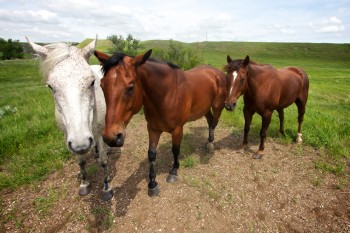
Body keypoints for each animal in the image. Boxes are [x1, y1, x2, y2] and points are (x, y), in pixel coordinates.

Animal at [26, 37, 113, 201]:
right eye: (51, 86)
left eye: (92, 82)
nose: (82, 143)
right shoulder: (70, 137)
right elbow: (81, 161)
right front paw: (84, 184)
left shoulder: (98, 133)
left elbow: (104, 161)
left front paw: (107, 188)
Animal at [95, 49, 227, 197]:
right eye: (102, 85)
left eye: (130, 87)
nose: (111, 137)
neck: (168, 93)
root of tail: (217, 72)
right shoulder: (153, 129)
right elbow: (152, 154)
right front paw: (152, 184)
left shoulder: (178, 129)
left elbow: (175, 150)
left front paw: (173, 171)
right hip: (205, 109)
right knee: (210, 120)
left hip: (218, 107)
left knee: (214, 122)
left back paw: (210, 144)